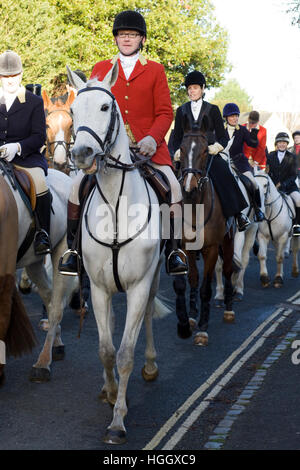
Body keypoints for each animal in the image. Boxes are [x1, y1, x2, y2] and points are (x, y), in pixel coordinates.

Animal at [0, 165, 77, 382]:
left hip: (63, 255)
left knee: (56, 308)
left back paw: (43, 363)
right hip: (33, 263)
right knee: (49, 297)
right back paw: (56, 343)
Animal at [67, 65, 169, 444]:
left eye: (105, 108)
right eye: (72, 111)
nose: (81, 154)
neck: (114, 203)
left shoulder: (138, 286)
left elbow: (125, 354)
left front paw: (117, 422)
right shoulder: (98, 288)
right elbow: (106, 350)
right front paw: (111, 393)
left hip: (154, 278)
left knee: (148, 321)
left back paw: (151, 365)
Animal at [173, 117, 234, 346]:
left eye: (205, 151)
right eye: (181, 148)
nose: (189, 187)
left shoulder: (211, 248)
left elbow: (206, 288)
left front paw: (203, 328)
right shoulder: (188, 248)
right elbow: (193, 280)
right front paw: (191, 317)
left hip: (228, 240)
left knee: (228, 270)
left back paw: (229, 309)